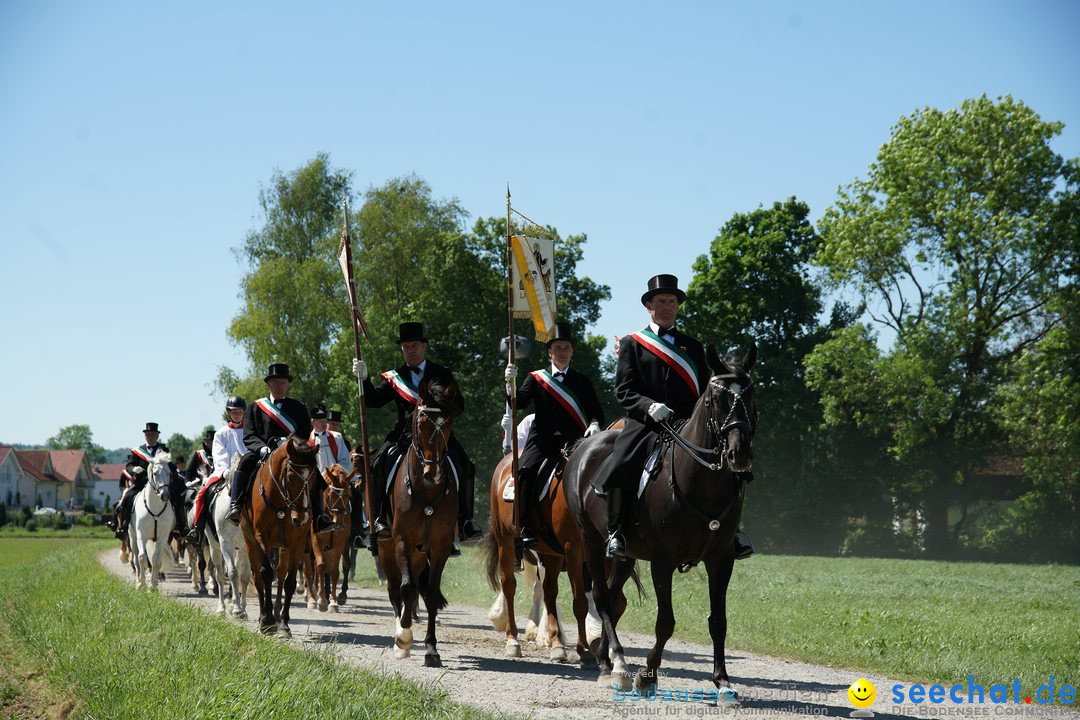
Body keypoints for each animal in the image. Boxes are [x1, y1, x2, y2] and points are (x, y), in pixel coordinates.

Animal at [129, 455, 176, 591]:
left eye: (169, 473)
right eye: (155, 473)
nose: (165, 495)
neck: (155, 507)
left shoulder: (162, 537)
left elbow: (157, 560)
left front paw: (153, 585)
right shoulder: (141, 535)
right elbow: (142, 558)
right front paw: (142, 584)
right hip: (132, 537)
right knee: (136, 558)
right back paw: (138, 581)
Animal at [240, 436, 315, 639]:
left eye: (313, 477)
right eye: (291, 476)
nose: (302, 518)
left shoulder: (296, 543)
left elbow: (289, 582)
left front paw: (284, 624)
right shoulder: (261, 538)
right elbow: (266, 574)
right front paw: (267, 621)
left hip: (282, 547)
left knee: (280, 575)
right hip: (250, 543)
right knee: (258, 577)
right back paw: (263, 616)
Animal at [380, 379, 460, 669]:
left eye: (448, 423)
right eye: (421, 421)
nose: (432, 474)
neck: (426, 493)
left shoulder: (439, 547)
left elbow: (431, 593)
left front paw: (431, 649)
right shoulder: (402, 541)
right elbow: (406, 588)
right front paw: (403, 638)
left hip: (418, 554)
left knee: (418, 589)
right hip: (388, 549)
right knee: (397, 590)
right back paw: (400, 640)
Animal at [561, 345, 756, 695]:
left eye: (750, 395)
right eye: (716, 398)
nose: (739, 453)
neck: (701, 481)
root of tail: (585, 446)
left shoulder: (721, 559)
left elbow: (718, 620)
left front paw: (722, 681)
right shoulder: (663, 560)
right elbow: (665, 621)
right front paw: (648, 673)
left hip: (625, 556)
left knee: (613, 597)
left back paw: (605, 656)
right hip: (591, 540)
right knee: (601, 596)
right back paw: (615, 665)